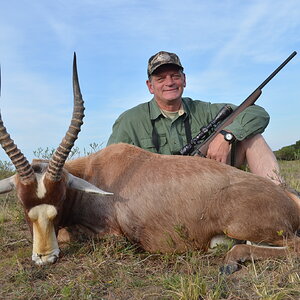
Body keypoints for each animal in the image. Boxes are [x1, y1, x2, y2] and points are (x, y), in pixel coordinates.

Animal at [0, 54, 298, 274]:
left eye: (60, 197)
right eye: (21, 202)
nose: (45, 257)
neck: (95, 170)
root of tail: (286, 197)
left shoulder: (113, 236)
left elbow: (66, 234)